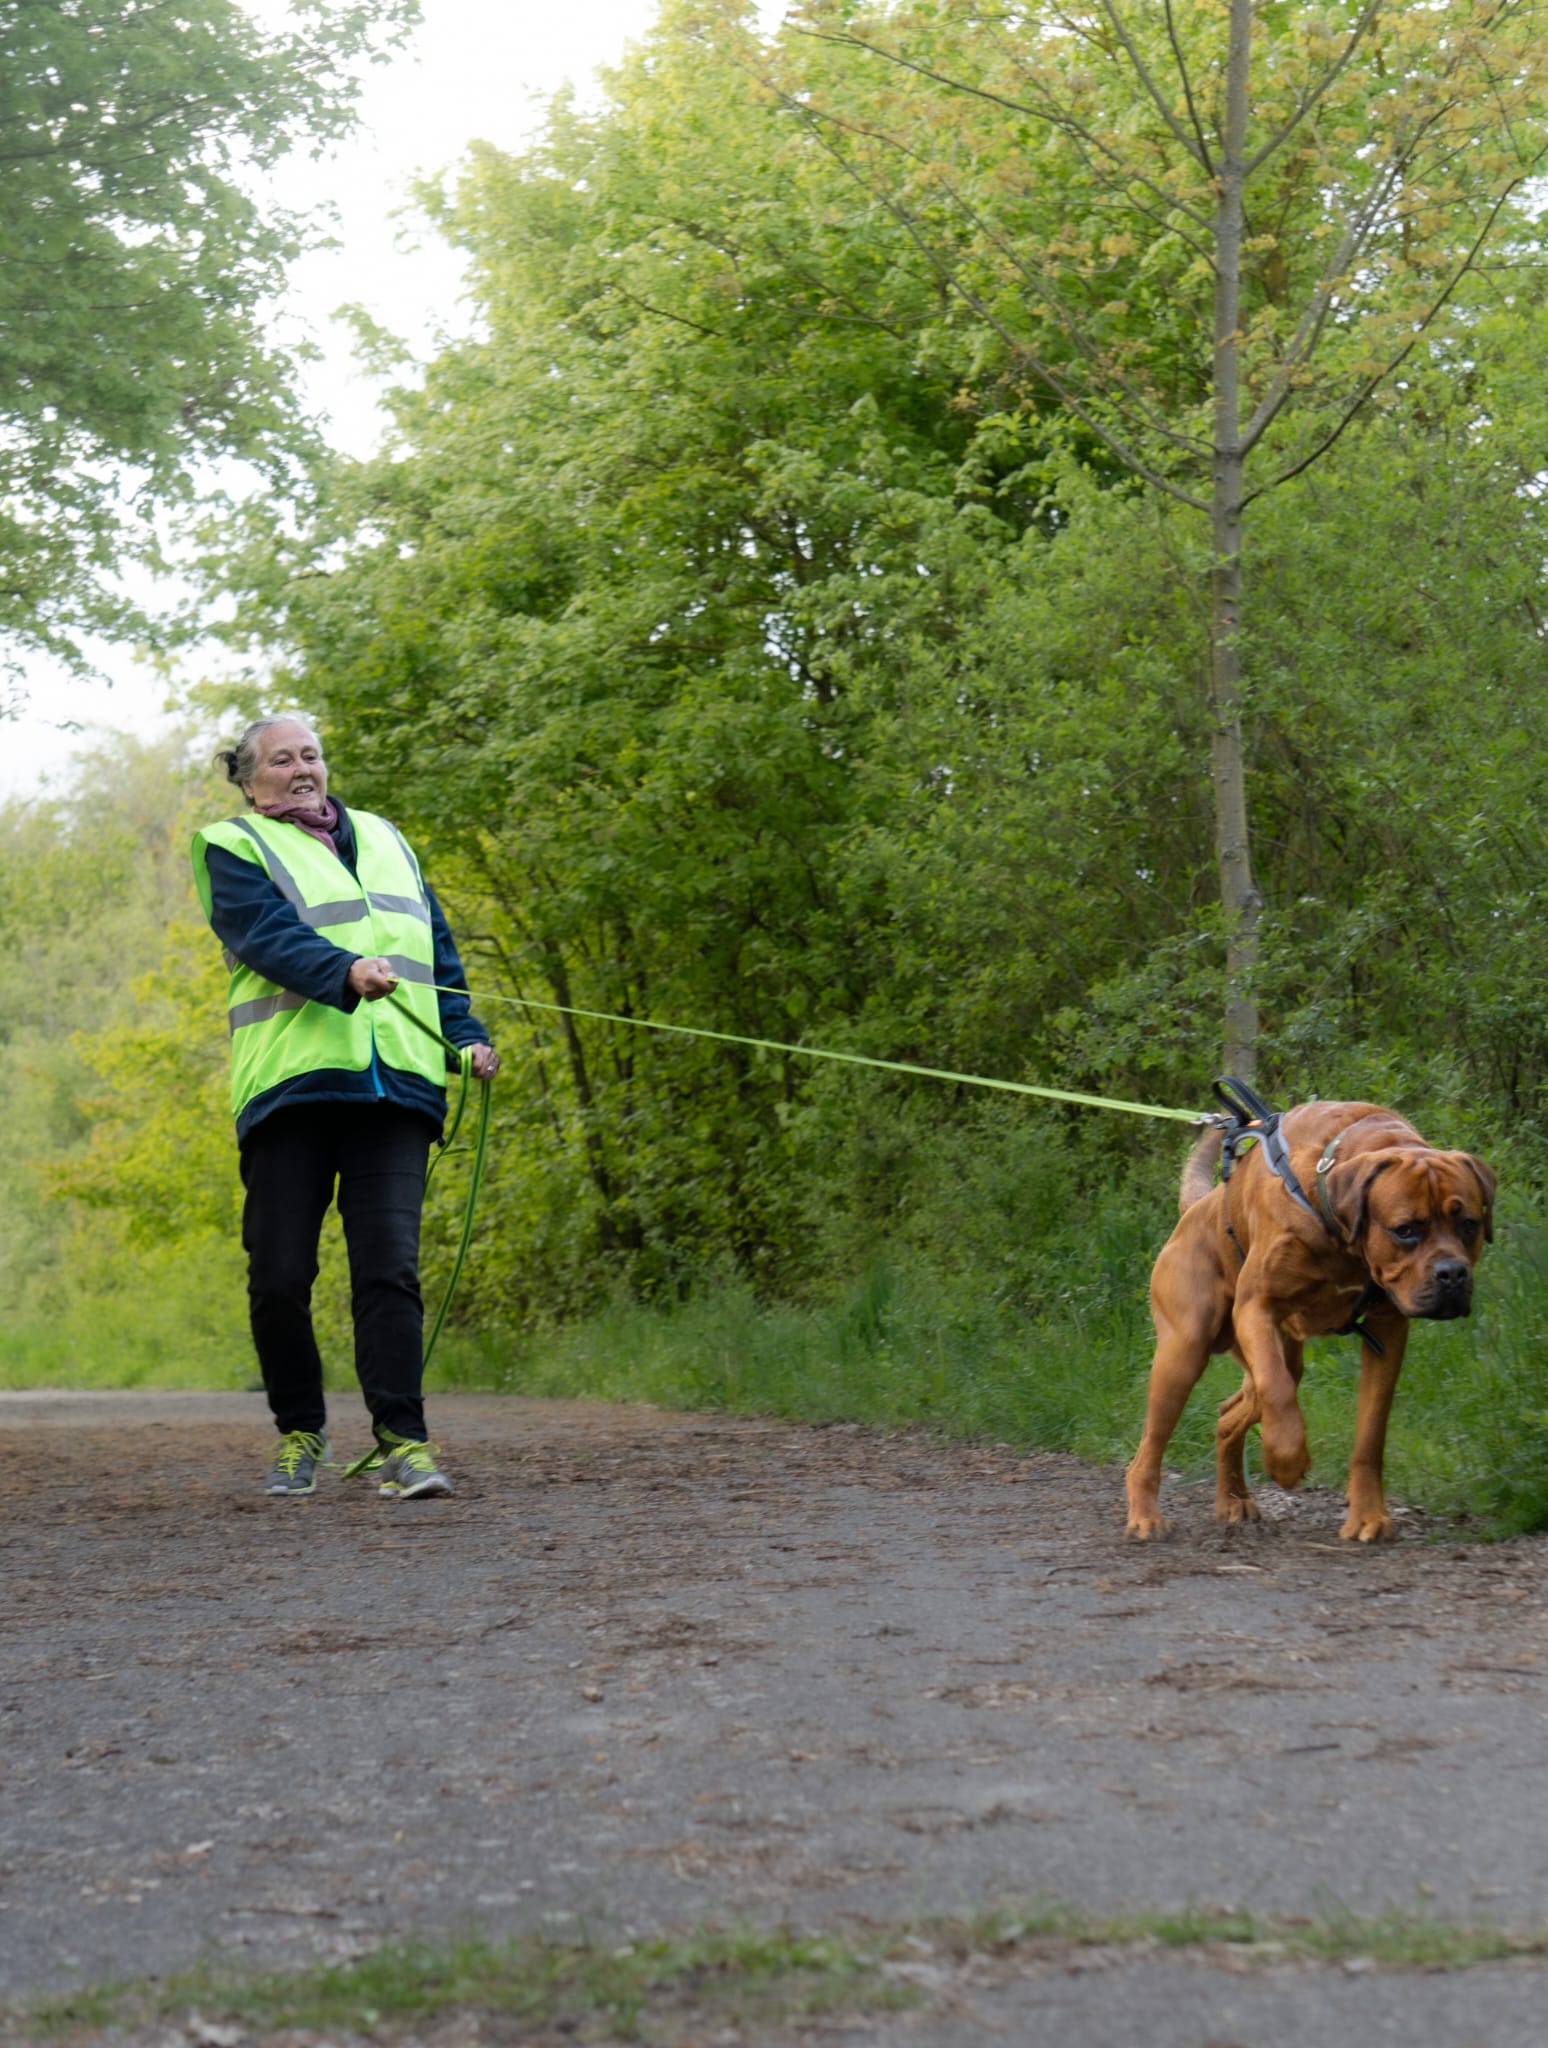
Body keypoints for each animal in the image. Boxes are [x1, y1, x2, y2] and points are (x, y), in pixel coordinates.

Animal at [1122, 1105, 1498, 1540]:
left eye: (1468, 1224)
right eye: (1405, 1231)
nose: (1452, 1274)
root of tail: (1199, 1207)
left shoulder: (1387, 1328)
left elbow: (1371, 1433)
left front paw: (1368, 1514)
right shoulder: (1256, 1307)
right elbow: (1279, 1389)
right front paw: (1286, 1461)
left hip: (1273, 1354)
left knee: (1229, 1415)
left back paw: (1233, 1499)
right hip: (1185, 1353)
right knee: (1151, 1447)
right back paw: (1146, 1515)